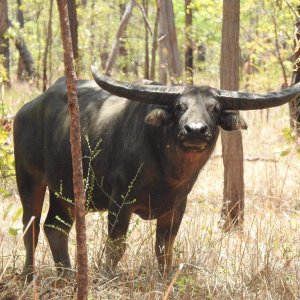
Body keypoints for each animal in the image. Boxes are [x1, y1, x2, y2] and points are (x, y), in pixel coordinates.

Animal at [14, 67, 300, 280]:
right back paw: (30, 276)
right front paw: (107, 276)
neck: (167, 173)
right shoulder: (121, 202)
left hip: (64, 191)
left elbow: (164, 249)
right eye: (179, 106)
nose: (195, 131)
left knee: (56, 227)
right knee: (32, 227)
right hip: (29, 180)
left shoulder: (176, 208)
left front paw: (164, 278)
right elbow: (115, 247)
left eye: (215, 108)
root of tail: (27, 109)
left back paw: (67, 275)